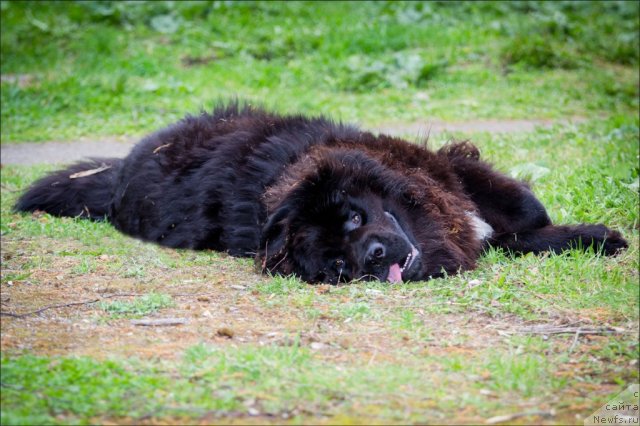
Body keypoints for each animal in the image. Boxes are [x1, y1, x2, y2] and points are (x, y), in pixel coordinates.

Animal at [15, 102, 624, 284]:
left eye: (353, 218)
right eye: (338, 265)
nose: (374, 256)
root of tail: (121, 170)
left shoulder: (445, 172)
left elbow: (523, 214)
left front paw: (596, 236)